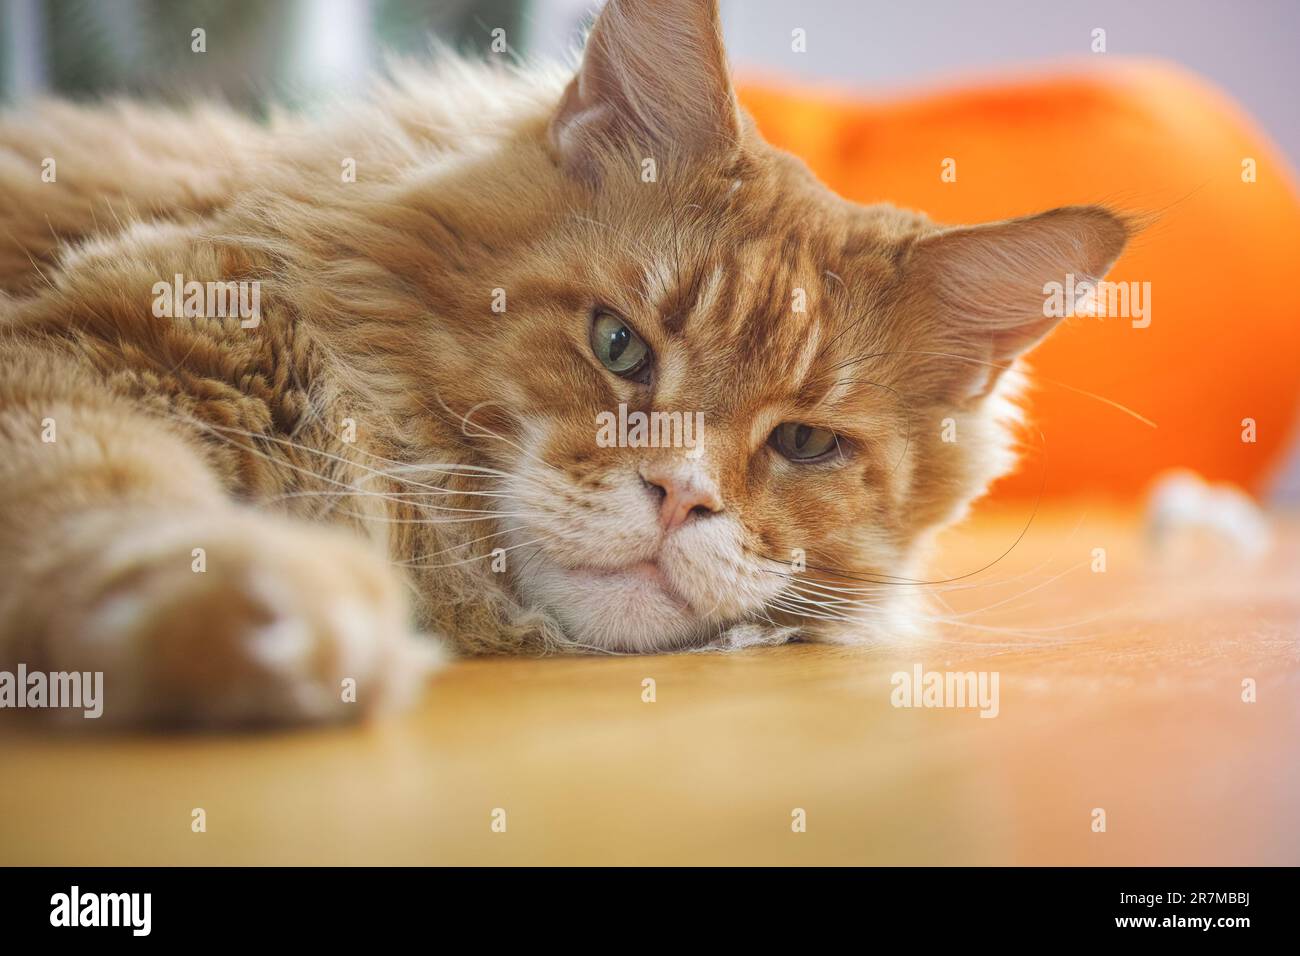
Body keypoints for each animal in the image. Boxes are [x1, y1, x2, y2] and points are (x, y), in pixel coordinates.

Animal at [0, 0, 1128, 728]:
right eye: (618, 344)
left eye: (806, 443)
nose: (682, 497)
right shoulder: (92, 360)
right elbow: (111, 499)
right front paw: (275, 612)